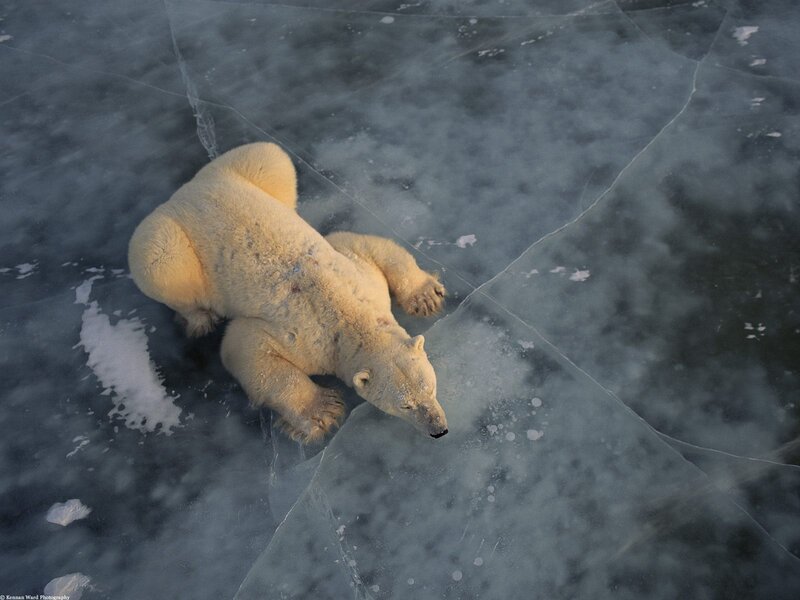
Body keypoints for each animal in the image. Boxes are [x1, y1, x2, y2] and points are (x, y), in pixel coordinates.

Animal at [128, 142, 449, 443]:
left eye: (430, 387)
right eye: (405, 405)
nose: (439, 430)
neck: (350, 316)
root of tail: (182, 195)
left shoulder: (360, 278)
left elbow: (364, 244)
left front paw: (426, 297)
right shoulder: (307, 339)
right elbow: (245, 347)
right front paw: (323, 411)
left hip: (239, 171)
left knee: (272, 158)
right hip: (169, 244)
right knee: (160, 264)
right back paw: (198, 319)